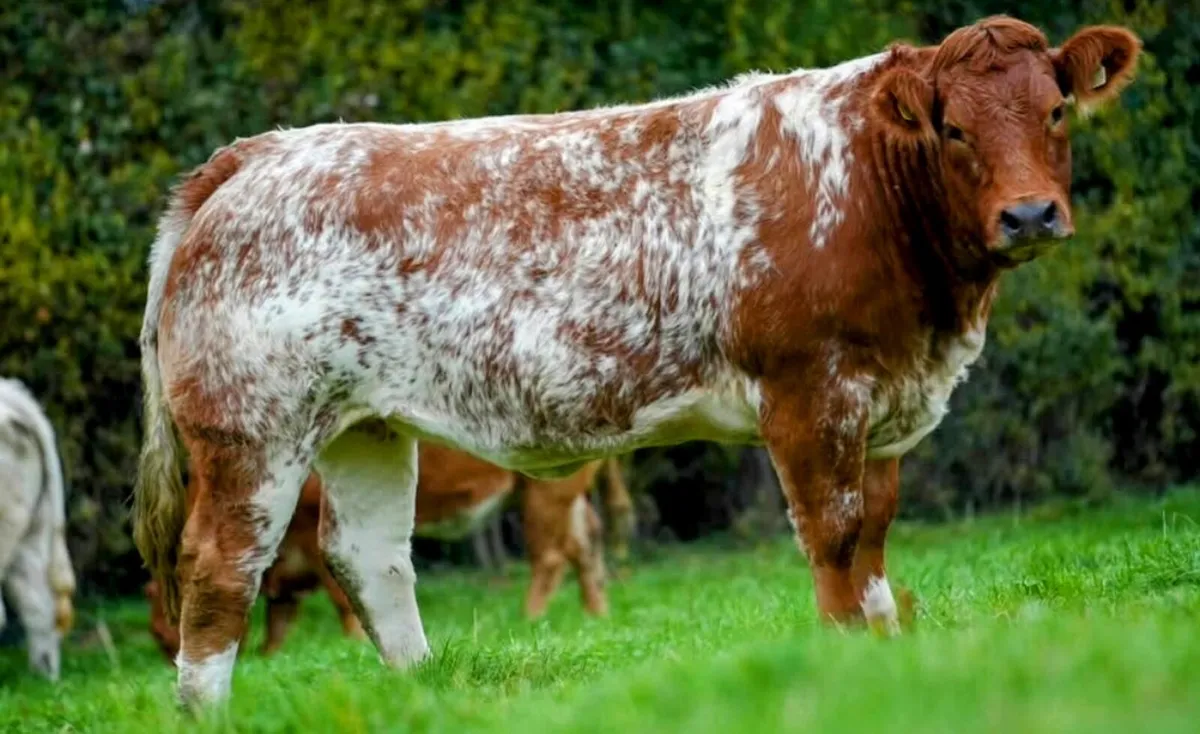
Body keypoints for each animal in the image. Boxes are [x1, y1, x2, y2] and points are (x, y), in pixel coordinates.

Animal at [145, 447, 630, 661]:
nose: (171, 653)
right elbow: (280, 615)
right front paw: (270, 656)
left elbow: (341, 594)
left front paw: (352, 642)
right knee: (585, 547)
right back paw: (597, 615)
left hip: (545, 492)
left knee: (552, 555)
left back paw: (529, 617)